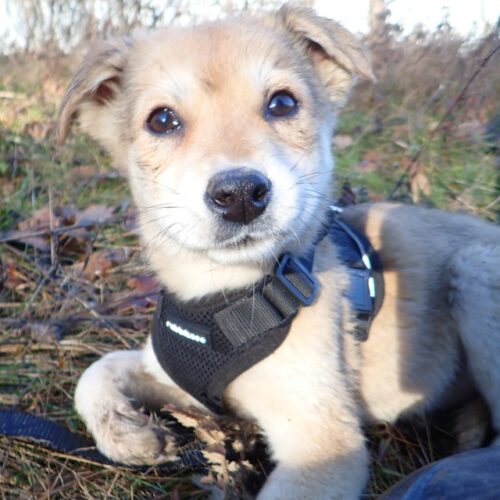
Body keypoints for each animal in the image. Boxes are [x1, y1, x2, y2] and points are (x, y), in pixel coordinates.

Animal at [57, 5, 500, 499]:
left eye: (283, 104)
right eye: (162, 120)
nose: (240, 195)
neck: (225, 298)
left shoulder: (322, 442)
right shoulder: (178, 380)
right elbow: (97, 369)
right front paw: (128, 434)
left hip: (477, 267)